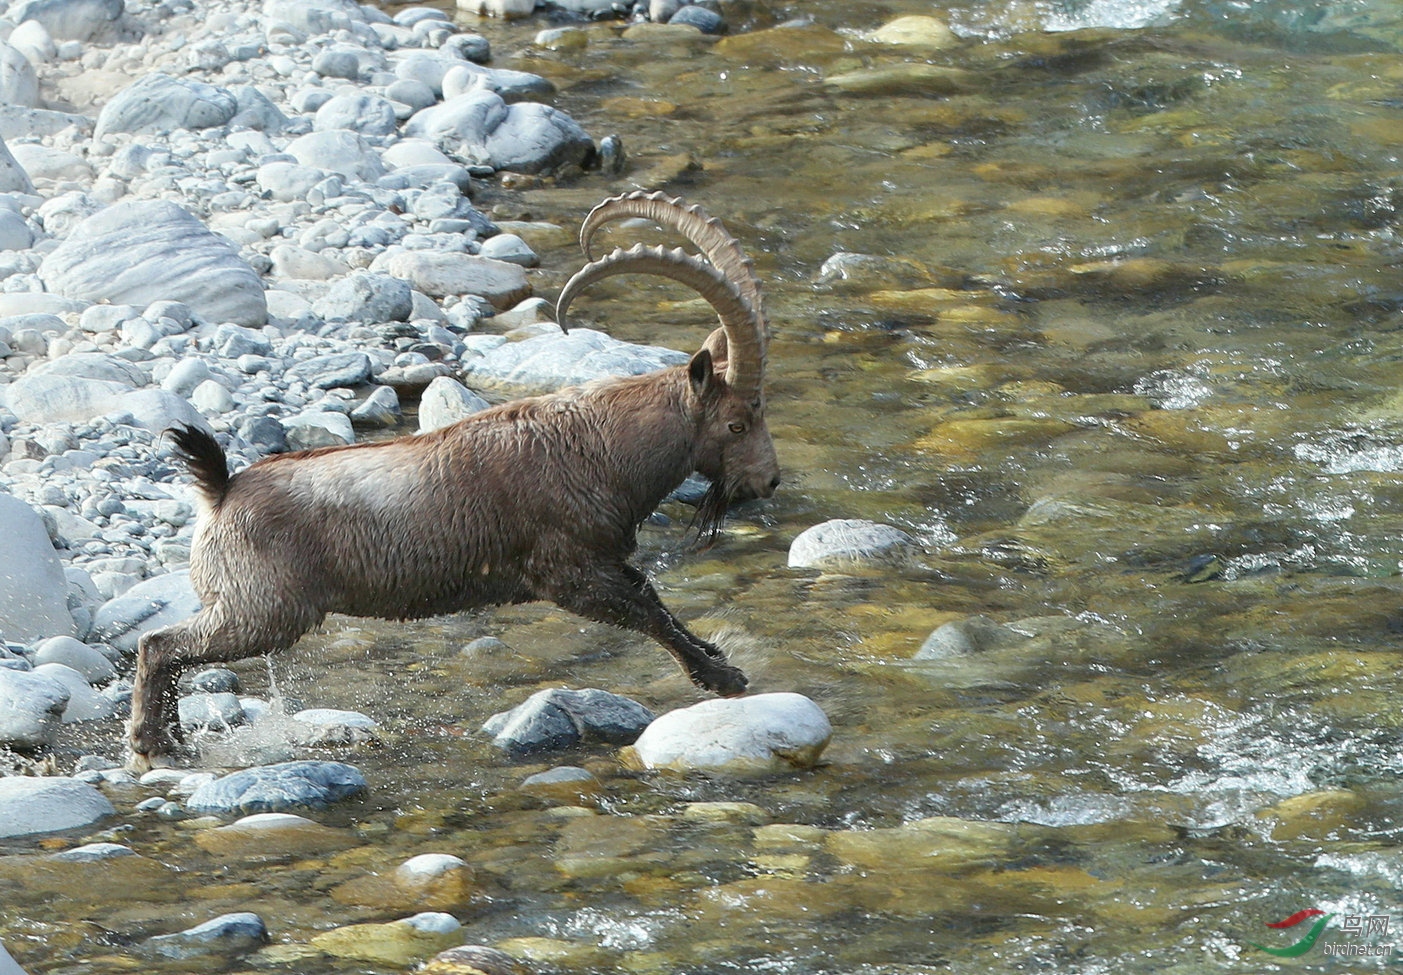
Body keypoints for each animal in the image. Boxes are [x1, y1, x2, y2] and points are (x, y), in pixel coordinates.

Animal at [123, 192, 780, 768]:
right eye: (736, 422)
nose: (769, 481)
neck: (603, 446)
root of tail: (221, 490)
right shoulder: (569, 572)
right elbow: (646, 611)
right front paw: (722, 677)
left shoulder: (604, 562)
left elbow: (654, 601)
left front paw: (719, 657)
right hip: (264, 611)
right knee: (161, 645)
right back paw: (155, 744)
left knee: (170, 651)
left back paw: (170, 741)